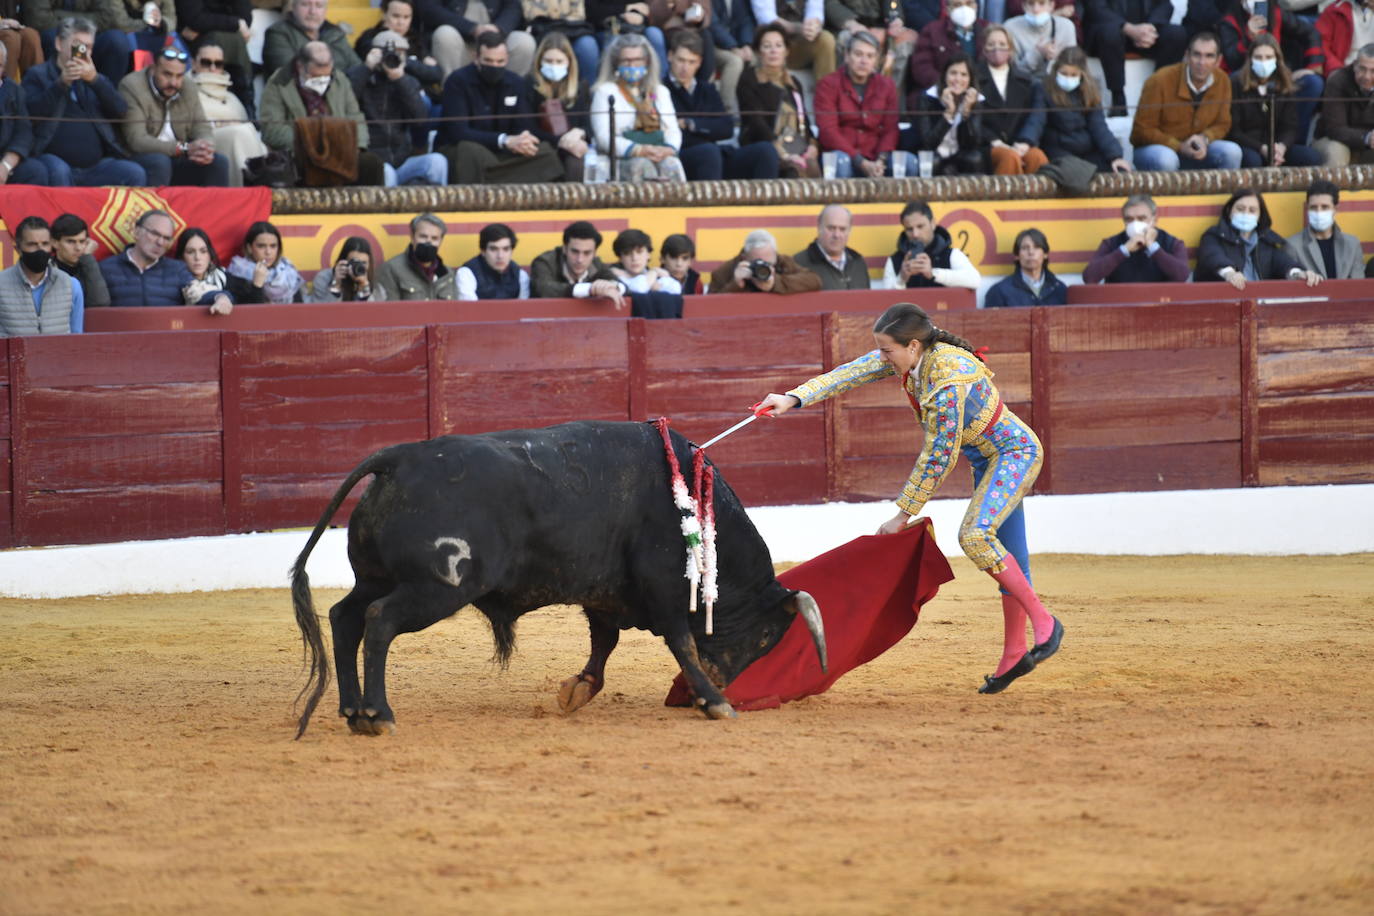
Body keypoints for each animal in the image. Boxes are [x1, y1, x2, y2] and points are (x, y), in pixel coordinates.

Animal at [292, 420, 824, 736]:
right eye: (766, 639)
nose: (720, 682)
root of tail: (398, 459)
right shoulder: (663, 588)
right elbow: (681, 641)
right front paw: (714, 703)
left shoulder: (606, 593)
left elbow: (604, 642)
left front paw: (577, 691)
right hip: (437, 588)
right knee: (379, 621)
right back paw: (378, 715)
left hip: (376, 577)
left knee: (345, 617)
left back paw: (352, 711)